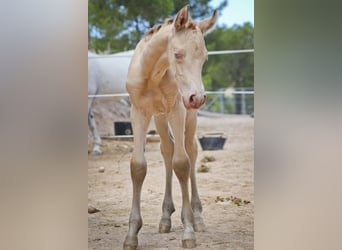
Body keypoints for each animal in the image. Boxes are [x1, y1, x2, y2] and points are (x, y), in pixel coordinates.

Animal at [123, 5, 218, 248]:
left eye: (205, 57)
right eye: (177, 54)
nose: (197, 98)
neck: (152, 75)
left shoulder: (178, 109)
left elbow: (182, 163)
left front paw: (188, 230)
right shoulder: (139, 112)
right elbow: (138, 167)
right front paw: (131, 234)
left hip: (188, 116)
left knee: (190, 151)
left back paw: (198, 217)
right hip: (160, 117)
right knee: (168, 150)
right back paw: (165, 217)